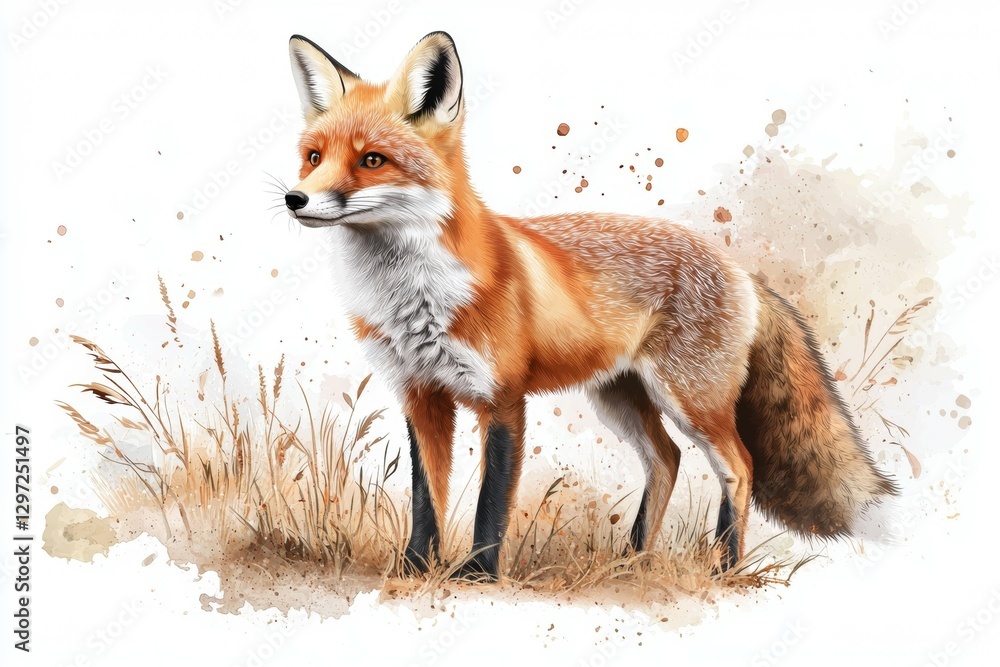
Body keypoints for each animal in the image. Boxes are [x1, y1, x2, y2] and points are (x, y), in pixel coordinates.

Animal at [282, 31, 898, 581]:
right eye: (313, 157)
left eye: (372, 160)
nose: (295, 198)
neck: (415, 299)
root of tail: (740, 270)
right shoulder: (421, 394)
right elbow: (425, 497)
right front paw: (414, 570)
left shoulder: (501, 397)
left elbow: (489, 501)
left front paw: (477, 576)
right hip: (620, 396)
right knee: (667, 460)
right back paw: (633, 561)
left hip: (690, 399)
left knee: (738, 466)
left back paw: (723, 567)